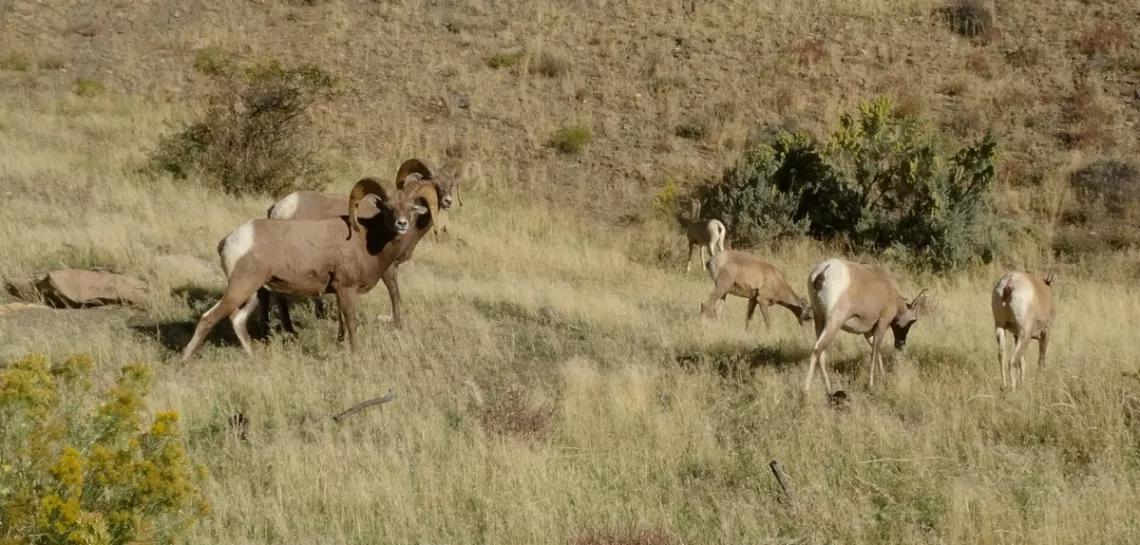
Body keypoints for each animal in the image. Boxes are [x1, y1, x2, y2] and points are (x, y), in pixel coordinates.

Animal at [180, 176, 435, 362]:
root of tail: (230, 240)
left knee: (237, 320)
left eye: (411, 207)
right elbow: (351, 323)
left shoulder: (339, 292)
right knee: (208, 318)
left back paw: (254, 358)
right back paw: (185, 360)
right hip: (240, 289)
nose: (402, 224)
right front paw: (356, 354)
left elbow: (342, 322)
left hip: (253, 292)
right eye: (388, 208)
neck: (366, 239)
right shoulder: (347, 289)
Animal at [260, 158, 460, 330]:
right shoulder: (387, 268)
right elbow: (394, 292)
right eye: (434, 183)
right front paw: (397, 325)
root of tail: (280, 209)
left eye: (451, 184)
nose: (447, 201)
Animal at [802, 257, 929, 394]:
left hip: (819, 319)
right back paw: (806, 392)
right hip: (834, 322)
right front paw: (872, 384)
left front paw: (883, 377)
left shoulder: (868, 332)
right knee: (817, 349)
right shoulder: (882, 323)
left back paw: (829, 389)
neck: (887, 287)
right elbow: (875, 350)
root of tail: (823, 271)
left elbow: (877, 350)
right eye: (913, 321)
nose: (901, 344)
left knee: (821, 353)